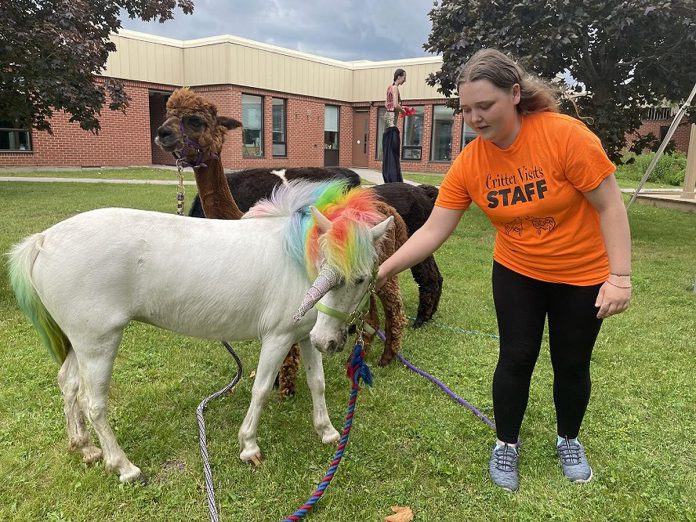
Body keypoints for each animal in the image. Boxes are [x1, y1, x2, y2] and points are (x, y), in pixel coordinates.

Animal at [8, 180, 392, 480]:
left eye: (362, 278)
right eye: (326, 268)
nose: (332, 342)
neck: (296, 259)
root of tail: (44, 240)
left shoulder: (304, 336)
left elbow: (317, 383)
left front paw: (327, 431)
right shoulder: (278, 338)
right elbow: (261, 390)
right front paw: (249, 446)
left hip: (80, 343)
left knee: (68, 385)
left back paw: (85, 448)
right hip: (98, 344)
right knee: (94, 403)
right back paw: (124, 466)